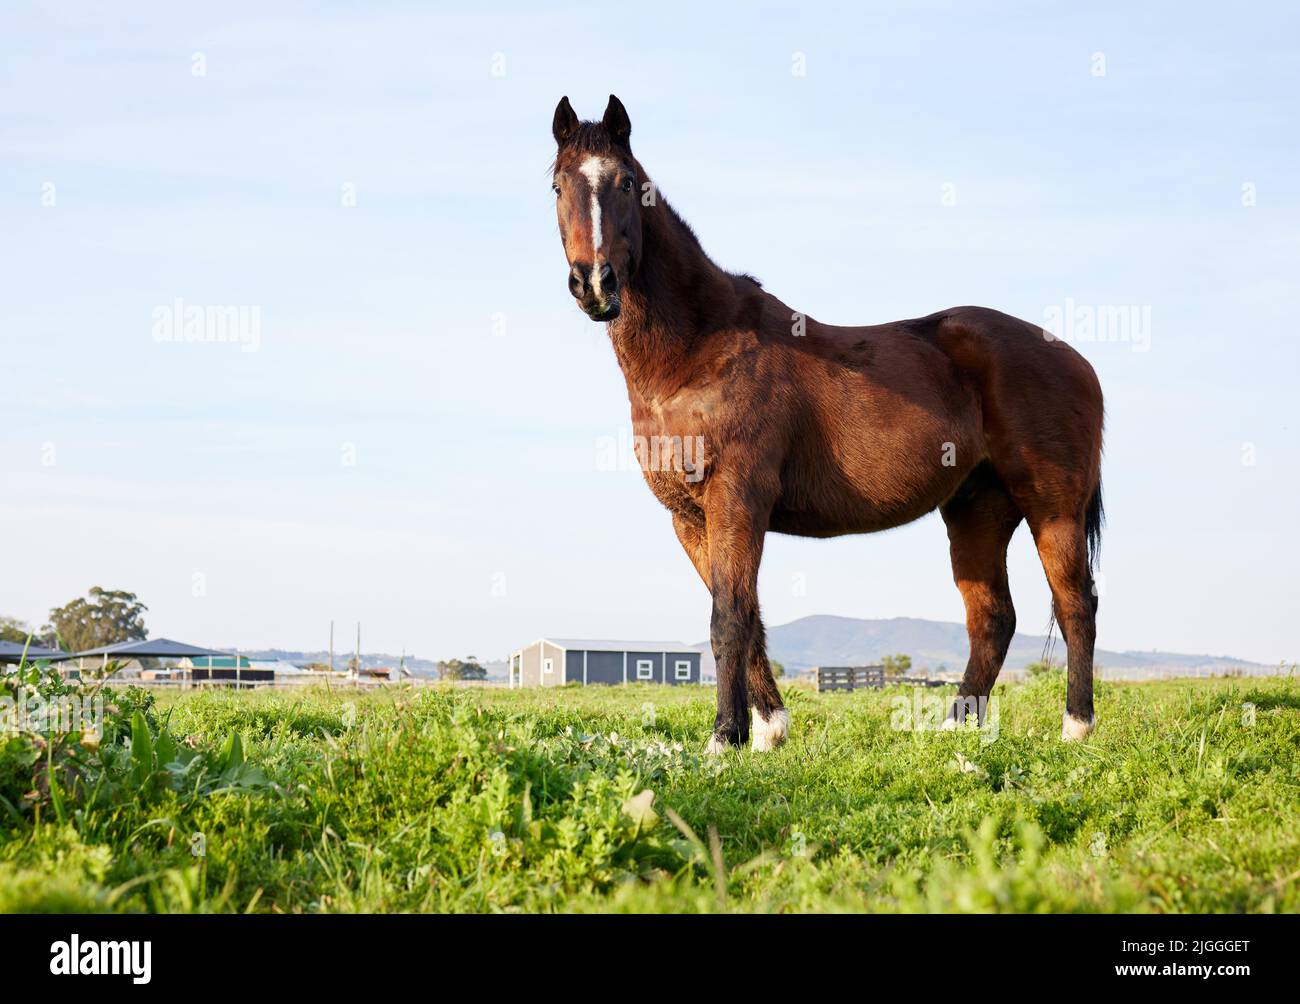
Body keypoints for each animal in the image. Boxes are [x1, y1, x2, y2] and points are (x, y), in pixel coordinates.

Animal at [549, 94, 1105, 752]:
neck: (699, 348)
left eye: (627, 183)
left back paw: (1076, 728)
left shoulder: (737, 497)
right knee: (993, 618)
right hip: (978, 510)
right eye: (558, 184)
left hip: (1053, 509)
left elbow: (729, 617)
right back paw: (953, 731)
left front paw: (725, 737)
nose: (595, 283)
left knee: (1076, 606)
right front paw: (768, 729)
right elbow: (745, 613)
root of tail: (1075, 359)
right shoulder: (689, 518)